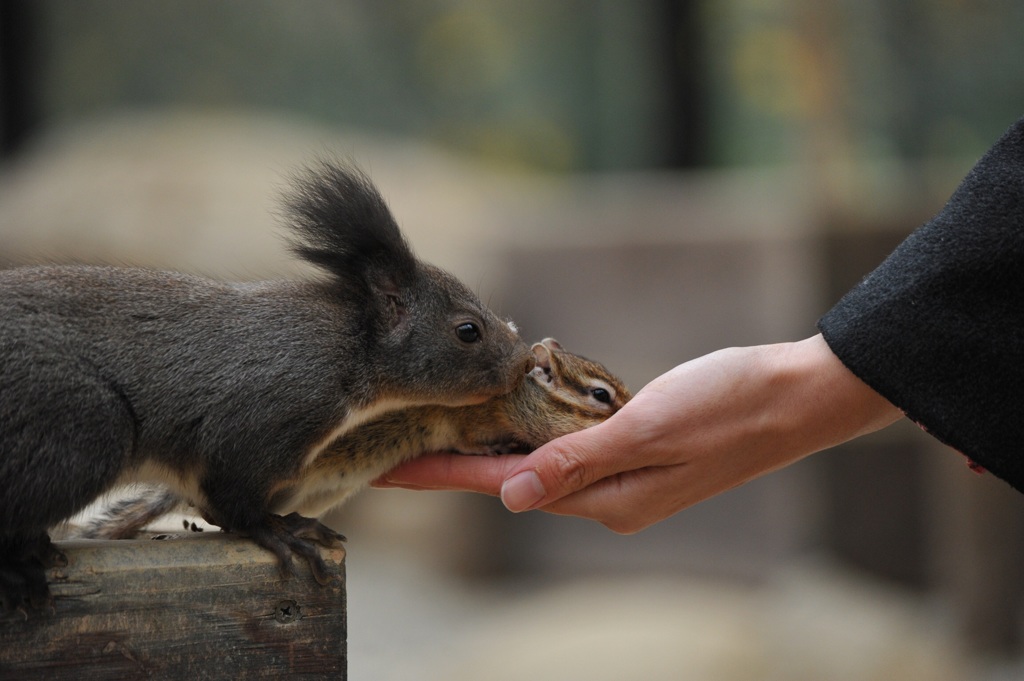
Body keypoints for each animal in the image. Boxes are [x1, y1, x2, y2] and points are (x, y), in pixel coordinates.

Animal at [2, 161, 536, 614]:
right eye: (468, 330)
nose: (522, 362)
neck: (347, 349)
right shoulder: (261, 419)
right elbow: (229, 501)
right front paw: (280, 531)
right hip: (85, 429)